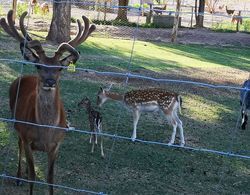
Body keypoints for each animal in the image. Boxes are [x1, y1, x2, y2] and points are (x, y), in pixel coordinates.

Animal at [0, 9, 95, 195]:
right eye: (39, 66)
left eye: (59, 68)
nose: (50, 82)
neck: (45, 132)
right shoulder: (27, 137)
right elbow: (33, 177)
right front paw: (26, 178)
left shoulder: (57, 145)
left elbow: (50, 179)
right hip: (17, 123)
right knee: (19, 146)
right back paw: (19, 177)